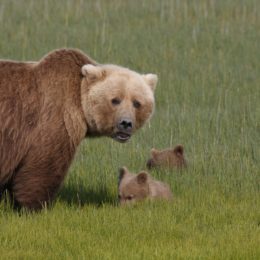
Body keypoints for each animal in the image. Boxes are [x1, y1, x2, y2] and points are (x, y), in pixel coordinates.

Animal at [0, 48, 158, 210]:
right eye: (115, 100)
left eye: (137, 102)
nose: (126, 123)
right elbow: (42, 167)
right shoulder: (54, 120)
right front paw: (34, 206)